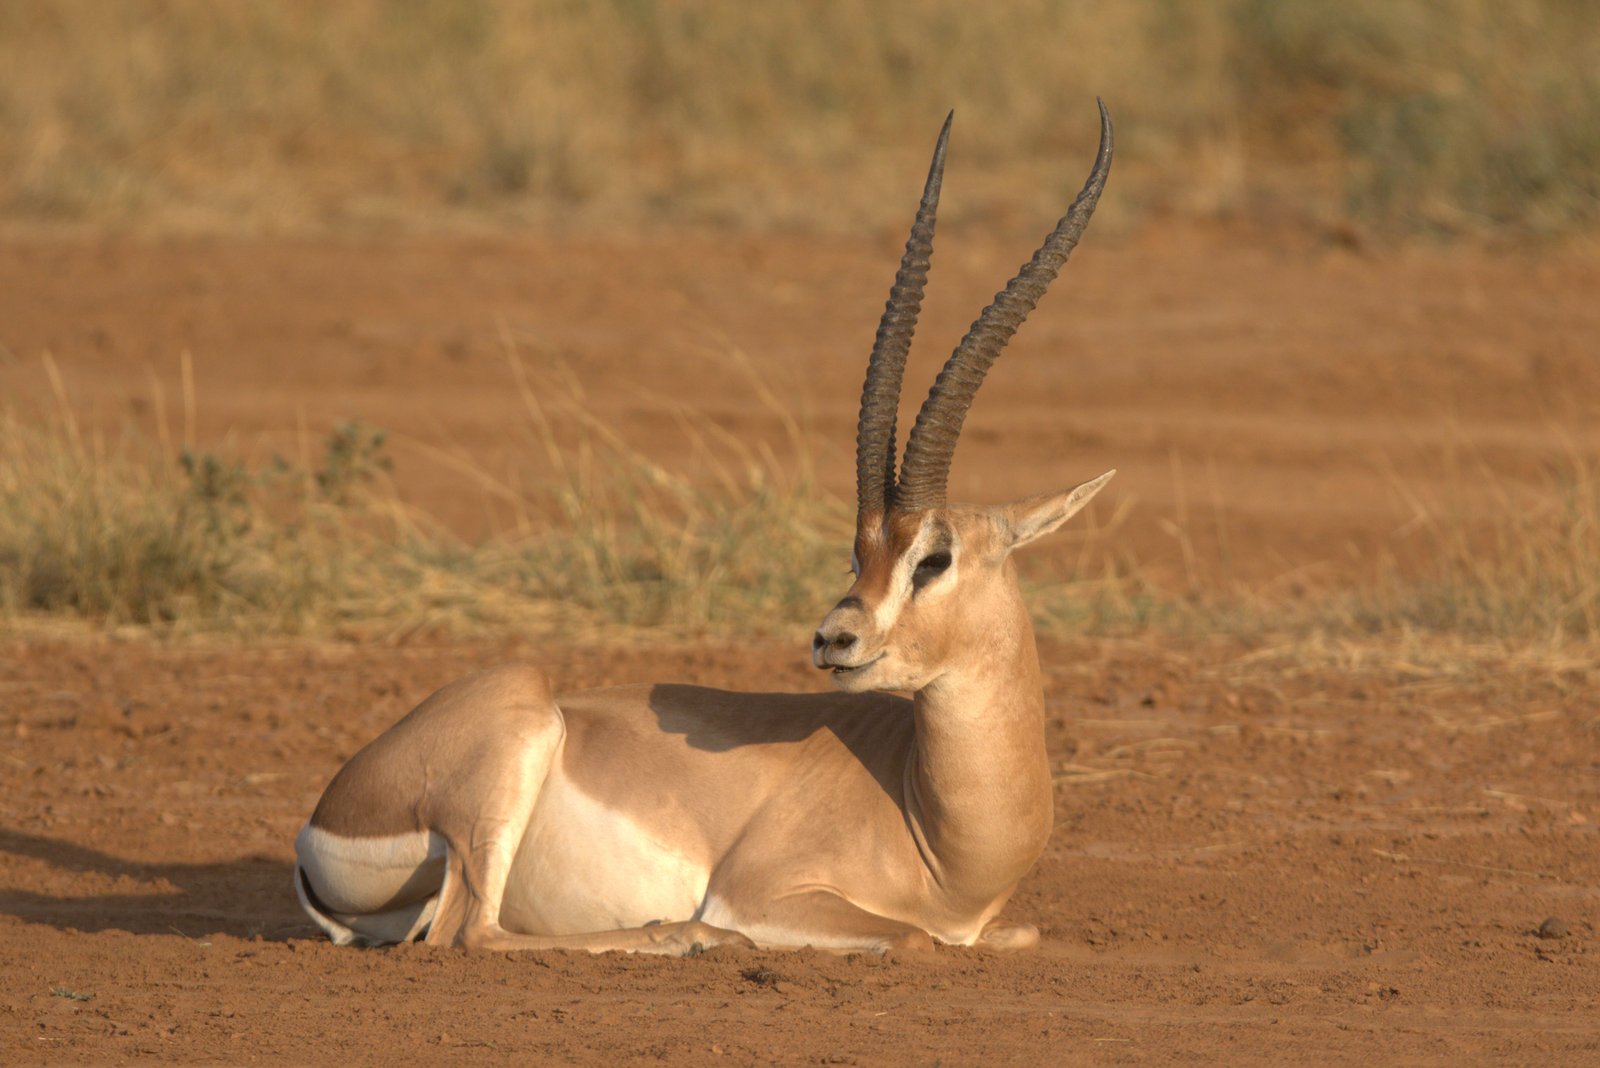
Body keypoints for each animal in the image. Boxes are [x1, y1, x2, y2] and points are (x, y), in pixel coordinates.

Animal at [294, 101, 1115, 955]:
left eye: (934, 557)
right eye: (860, 552)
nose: (834, 638)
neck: (932, 827)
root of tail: (321, 821)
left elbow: (1016, 935)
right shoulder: (763, 891)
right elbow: (914, 939)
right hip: (506, 756)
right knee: (471, 933)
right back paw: (684, 936)